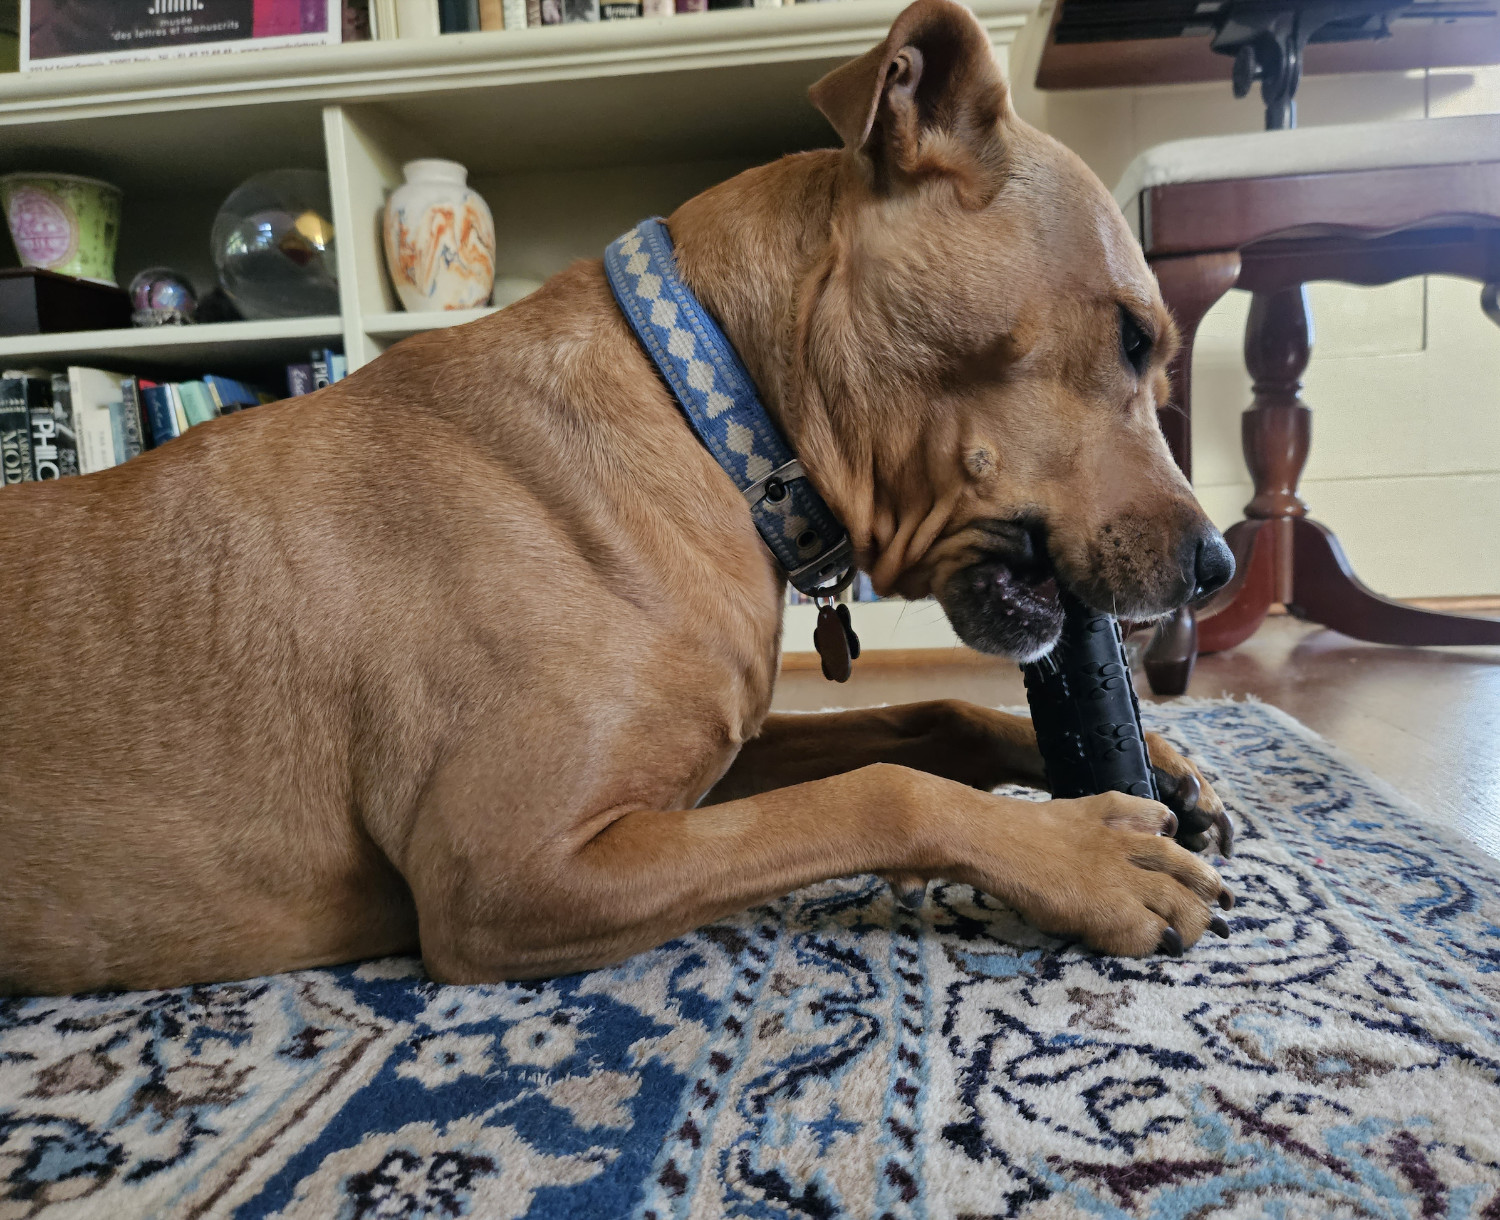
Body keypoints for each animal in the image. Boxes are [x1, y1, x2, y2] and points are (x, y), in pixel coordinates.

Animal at [5, 0, 1236, 1002]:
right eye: (1134, 336)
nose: (1219, 568)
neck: (715, 418)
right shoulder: (510, 872)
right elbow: (881, 791)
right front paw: (1085, 854)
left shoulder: (699, 768)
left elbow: (922, 715)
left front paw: (1164, 760)